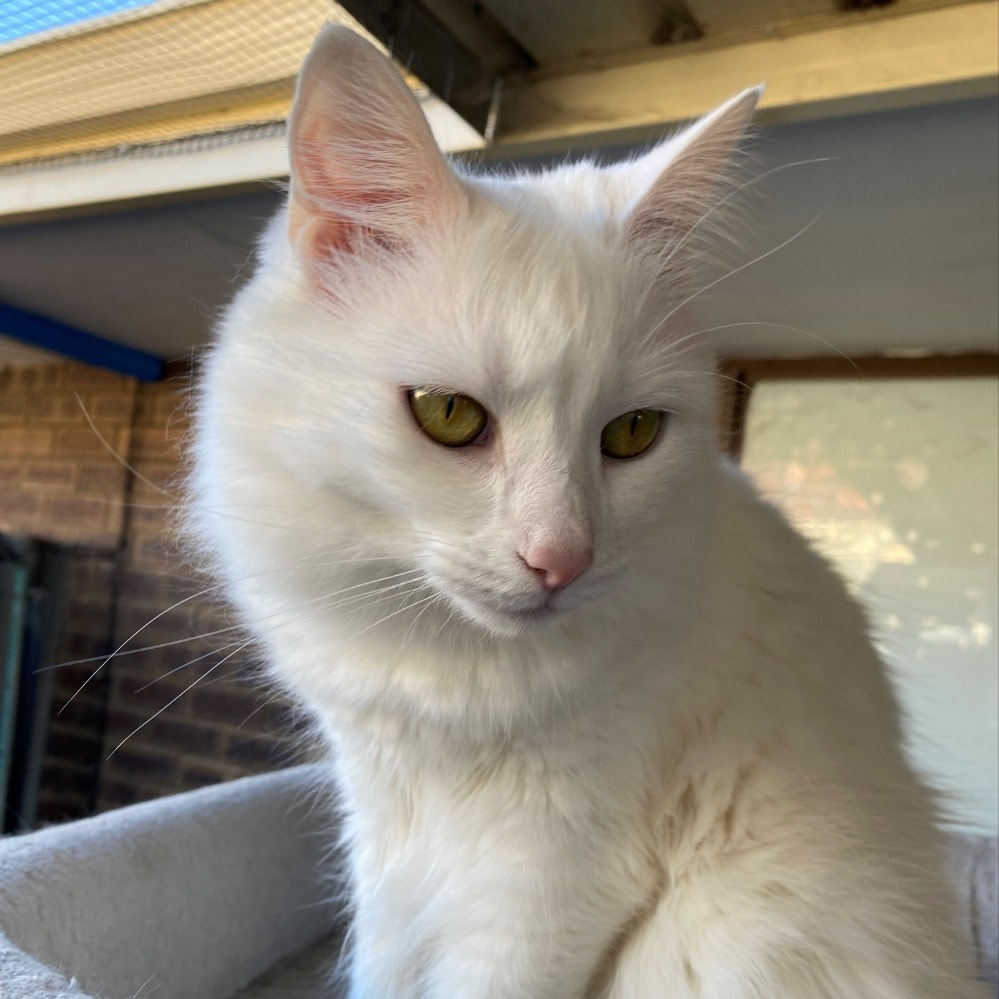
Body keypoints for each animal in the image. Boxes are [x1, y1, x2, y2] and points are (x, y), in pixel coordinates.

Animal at [189, 23, 986, 999]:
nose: (559, 559)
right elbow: (383, 963)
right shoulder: (384, 825)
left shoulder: (544, 875)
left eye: (632, 433)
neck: (452, 675)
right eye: (447, 415)